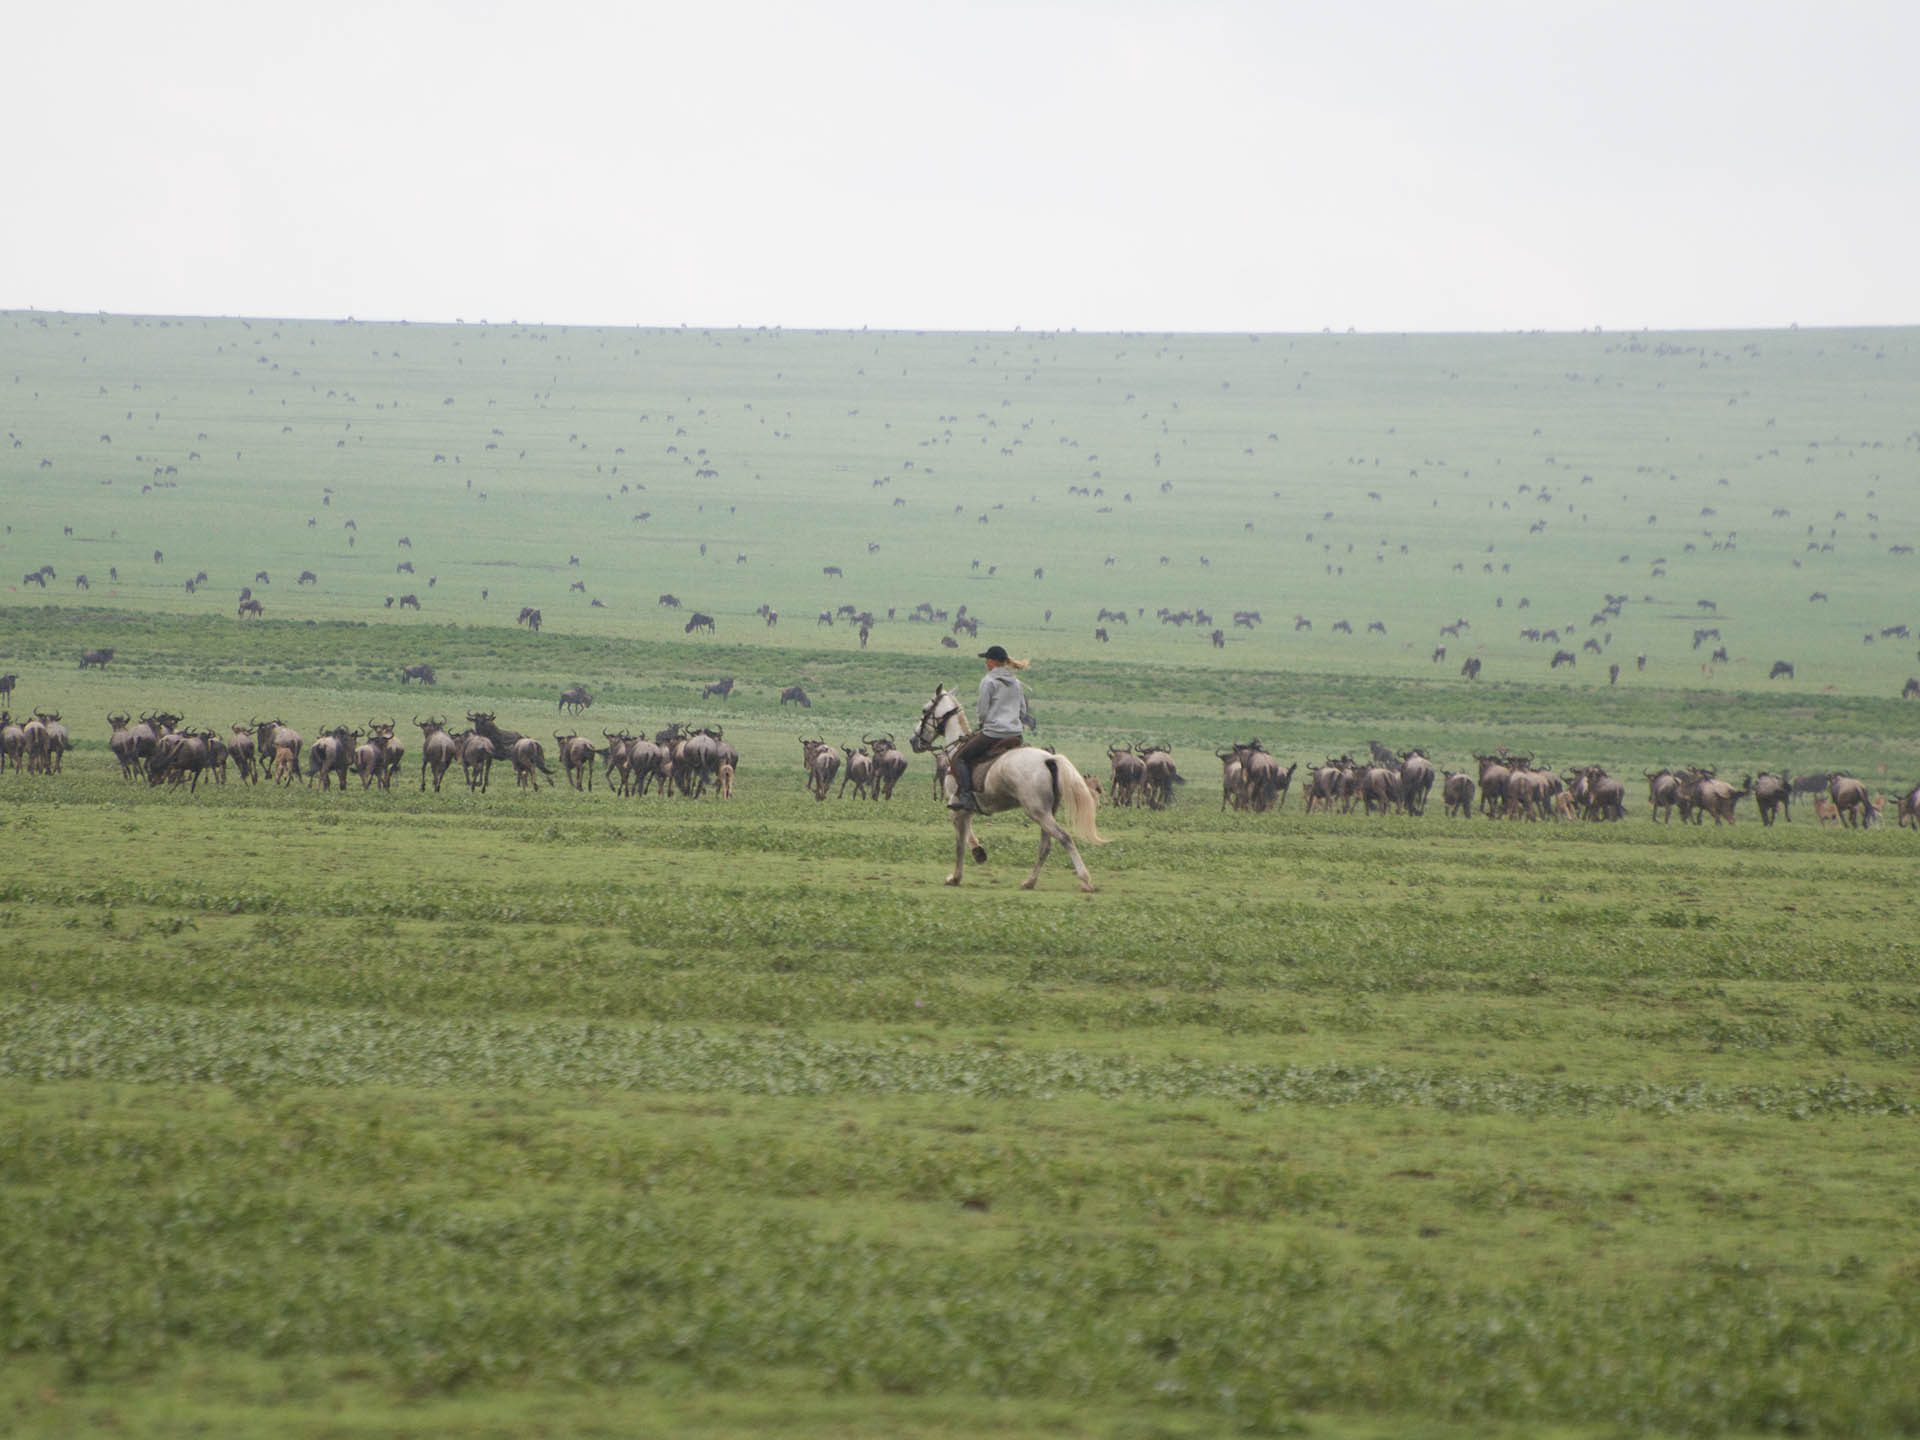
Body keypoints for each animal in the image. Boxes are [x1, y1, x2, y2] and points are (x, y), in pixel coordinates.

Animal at [906, 683, 1105, 890]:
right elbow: (967, 834)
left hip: (1037, 811)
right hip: (1046, 812)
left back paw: (1085, 880)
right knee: (1045, 846)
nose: (913, 740)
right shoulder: (967, 809)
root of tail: (1048, 759)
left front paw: (956, 876)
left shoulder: (957, 807)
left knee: (1064, 838)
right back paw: (1029, 881)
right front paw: (977, 853)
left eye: (925, 710)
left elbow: (960, 843)